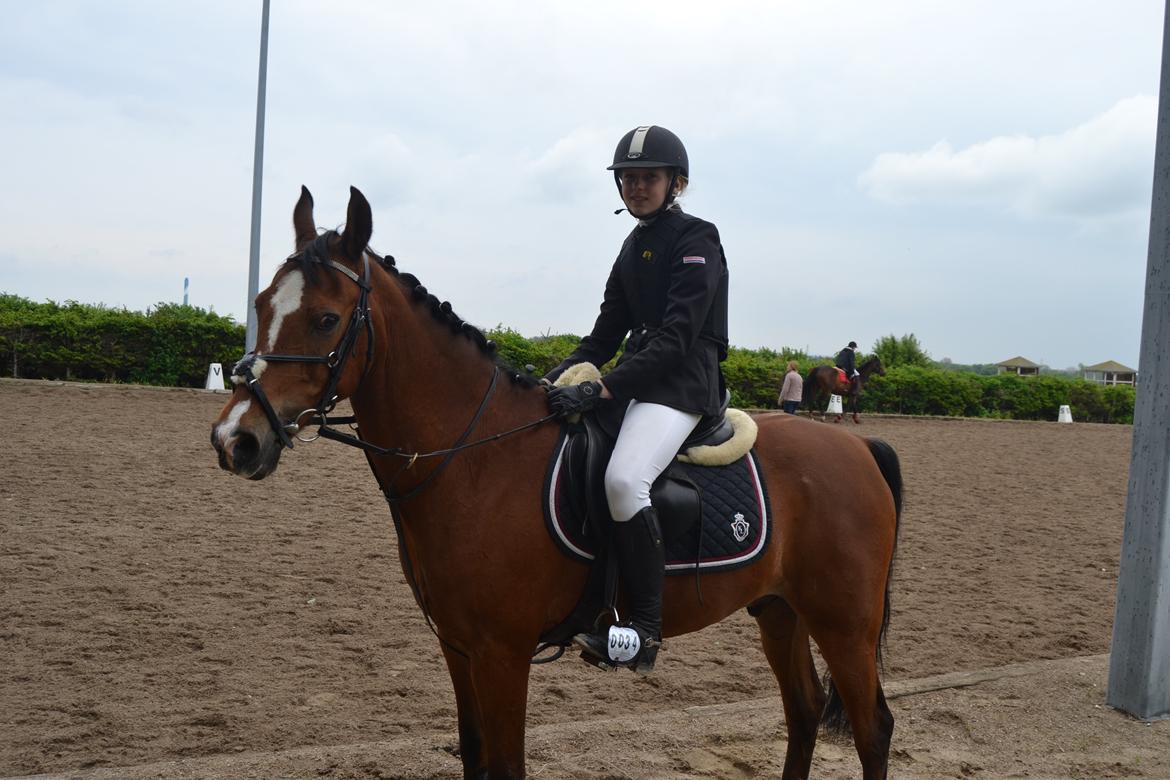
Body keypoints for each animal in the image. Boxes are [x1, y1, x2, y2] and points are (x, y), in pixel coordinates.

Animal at [211, 186, 903, 779]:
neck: (473, 456)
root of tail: (857, 447)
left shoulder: (502, 652)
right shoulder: (458, 647)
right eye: (261, 306)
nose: (235, 440)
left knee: (873, 729)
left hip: (844, 624)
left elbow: (506, 765)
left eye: (326, 320)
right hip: (780, 610)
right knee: (805, 711)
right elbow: (474, 755)